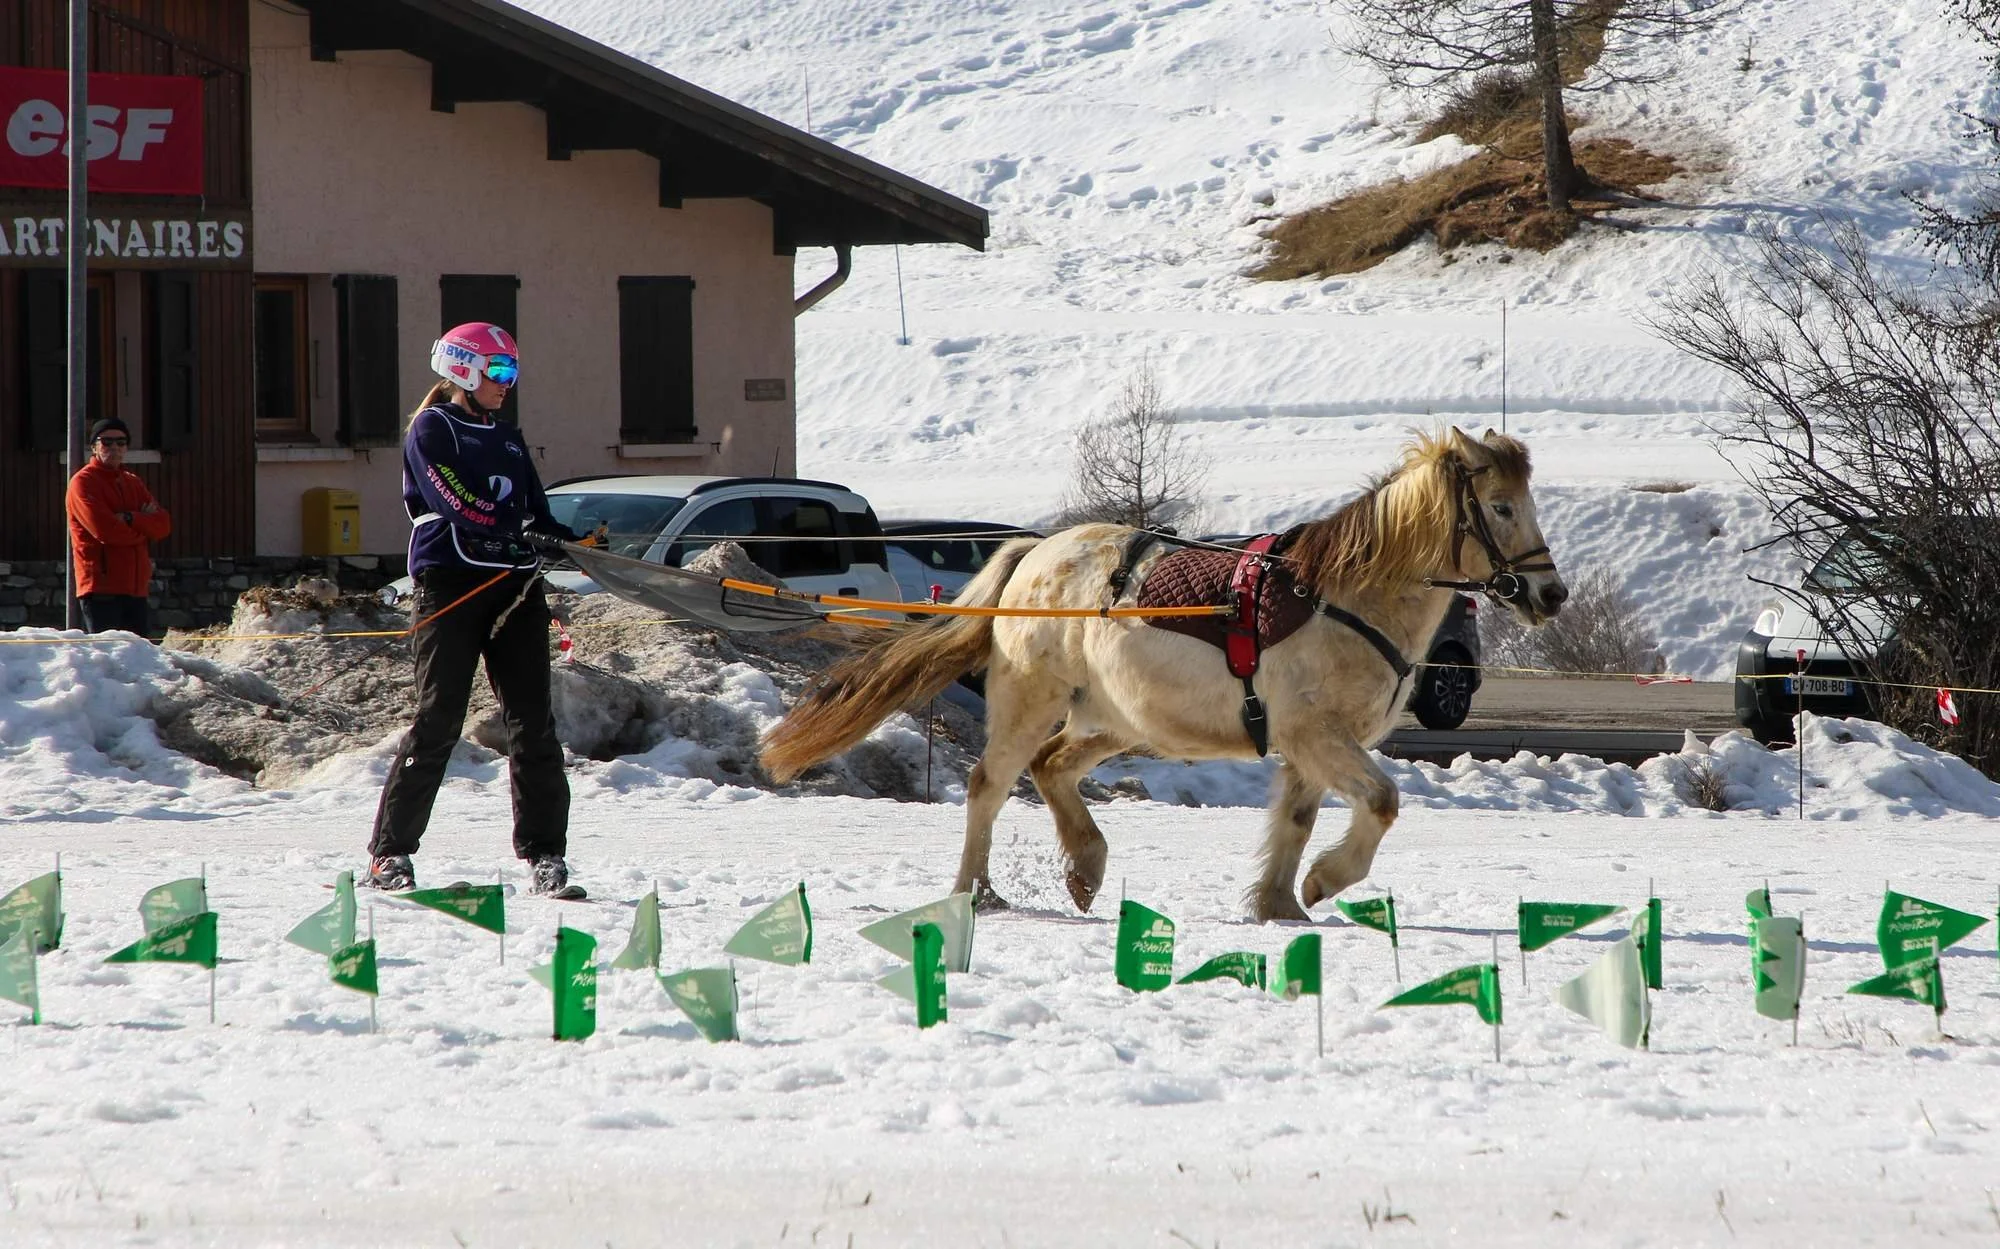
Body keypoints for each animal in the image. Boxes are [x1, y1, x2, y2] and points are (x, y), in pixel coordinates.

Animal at [761, 428, 1567, 921]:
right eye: (1500, 506)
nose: (1549, 593)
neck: (1342, 597)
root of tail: (1032, 554)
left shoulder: (1307, 747)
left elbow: (1296, 821)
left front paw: (1280, 902)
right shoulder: (1318, 736)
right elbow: (1382, 802)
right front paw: (1323, 880)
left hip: (1115, 721)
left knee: (1052, 768)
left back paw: (1085, 868)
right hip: (1032, 700)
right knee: (990, 784)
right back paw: (977, 890)